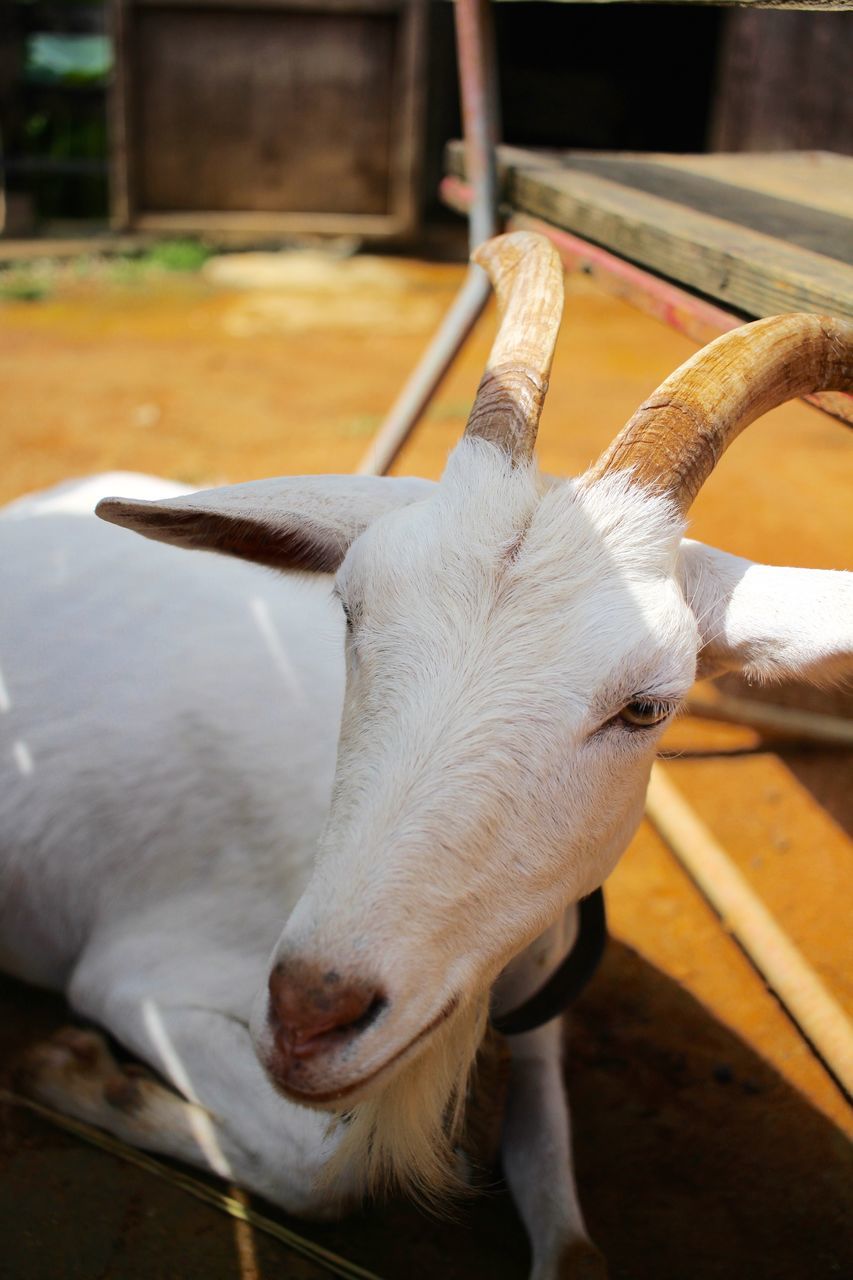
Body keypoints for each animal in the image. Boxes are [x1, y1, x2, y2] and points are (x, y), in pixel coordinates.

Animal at [4, 232, 850, 1280]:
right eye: (349, 609)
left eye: (648, 705)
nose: (310, 1014)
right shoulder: (147, 975)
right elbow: (324, 1174)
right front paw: (76, 1073)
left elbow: (570, 1242)